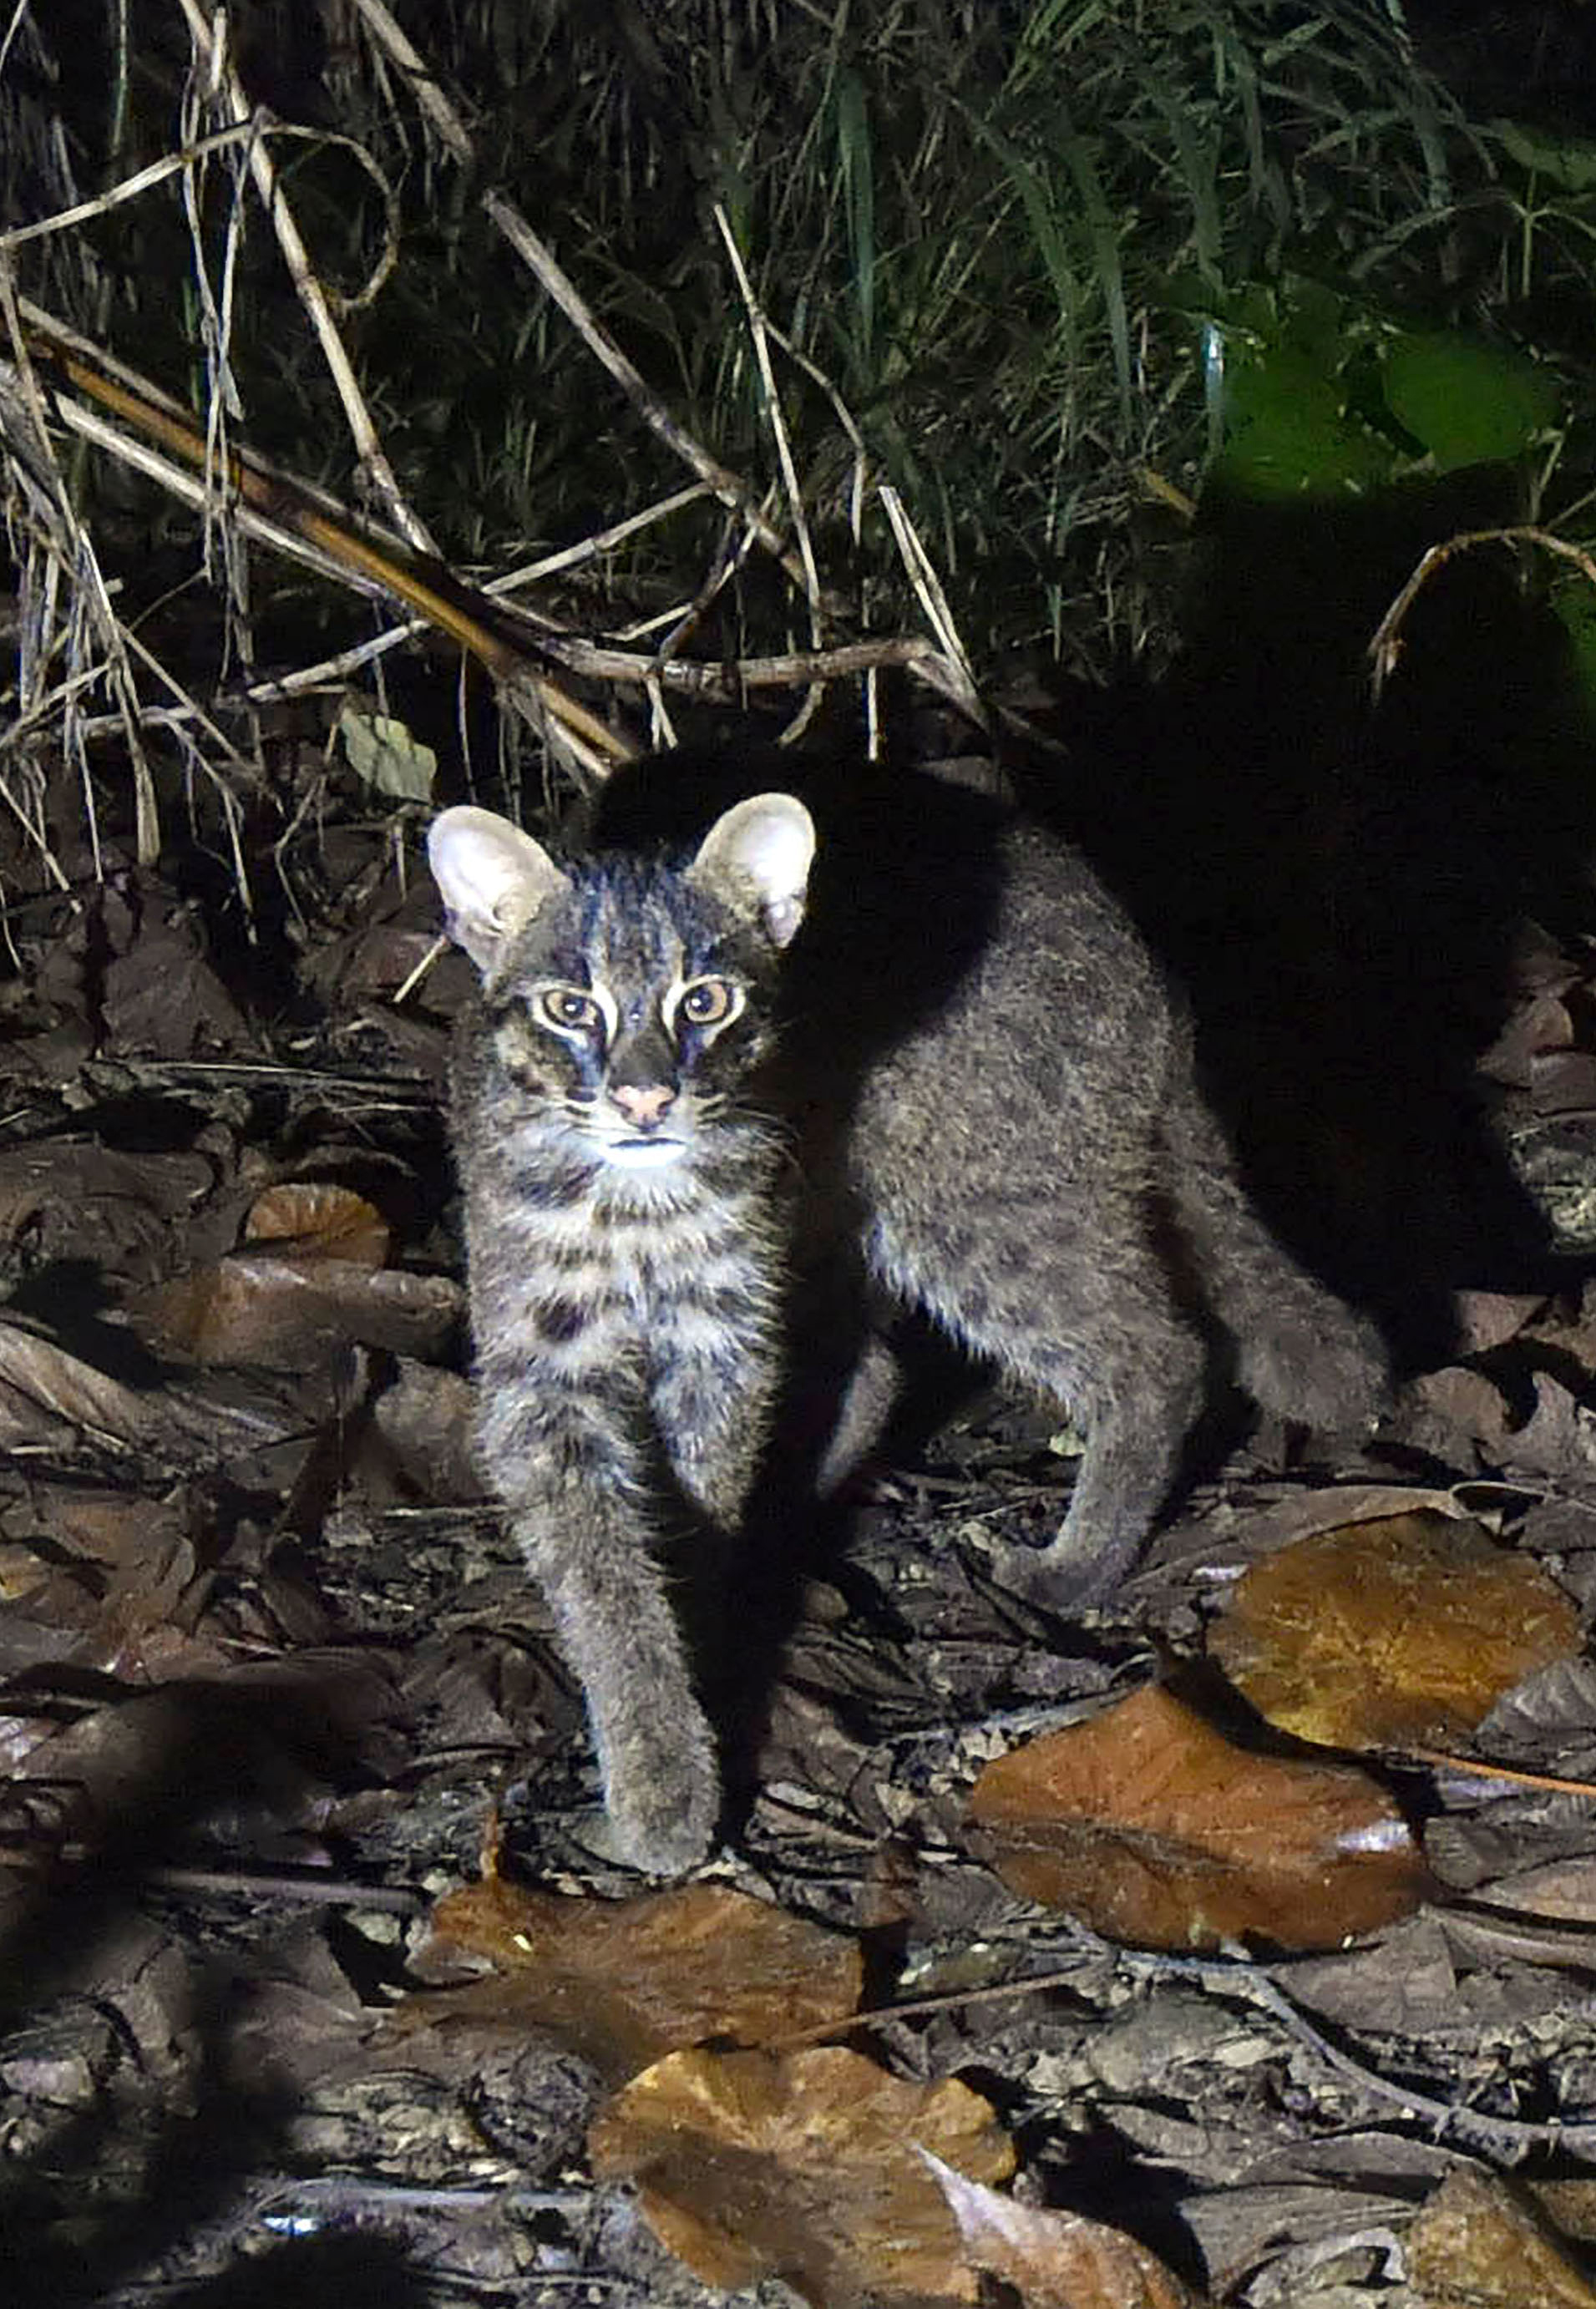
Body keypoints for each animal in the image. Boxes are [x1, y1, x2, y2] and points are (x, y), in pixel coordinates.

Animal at [427, 757, 1386, 1875]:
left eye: (705, 999)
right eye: (569, 1005)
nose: (645, 1100)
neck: (639, 1199)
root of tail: (1145, 969)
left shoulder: (715, 1342)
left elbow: (672, 1526)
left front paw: (670, 1750)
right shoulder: (551, 1372)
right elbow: (605, 1569)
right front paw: (667, 1745)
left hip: (972, 1203)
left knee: (1156, 1349)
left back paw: (1073, 1563)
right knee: (881, 1367)